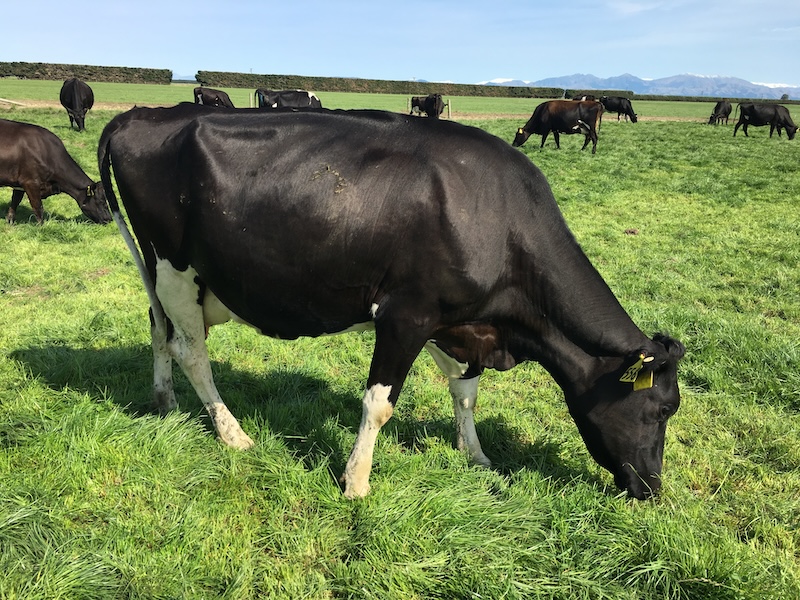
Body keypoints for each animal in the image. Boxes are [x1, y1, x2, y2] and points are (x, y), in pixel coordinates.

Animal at [98, 104, 684, 501]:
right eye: (660, 408)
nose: (652, 489)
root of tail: (141, 114)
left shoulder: (457, 322)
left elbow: (465, 395)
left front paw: (477, 456)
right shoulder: (407, 315)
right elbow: (378, 404)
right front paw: (355, 483)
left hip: (171, 276)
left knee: (159, 330)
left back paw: (165, 403)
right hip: (174, 266)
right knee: (191, 352)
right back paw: (234, 435)